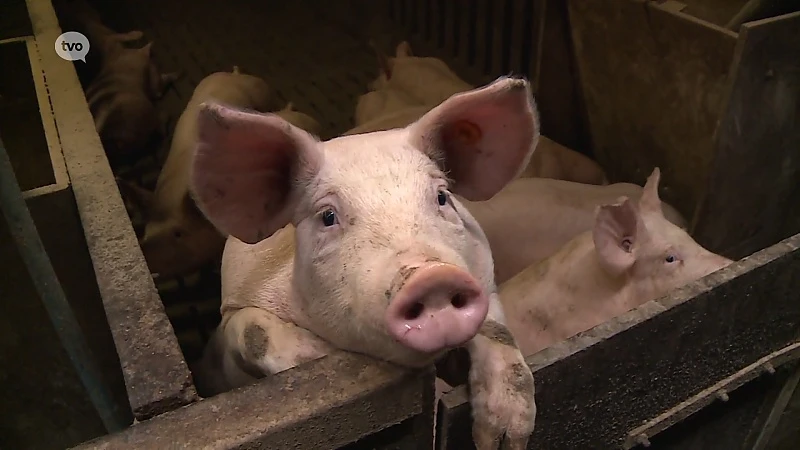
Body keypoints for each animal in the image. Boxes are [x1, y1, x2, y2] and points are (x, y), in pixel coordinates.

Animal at [191, 78, 536, 450]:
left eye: (442, 197)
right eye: (328, 216)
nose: (432, 276)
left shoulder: (484, 274)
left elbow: (497, 329)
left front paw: (503, 439)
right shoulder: (231, 316)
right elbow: (254, 329)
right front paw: (318, 356)